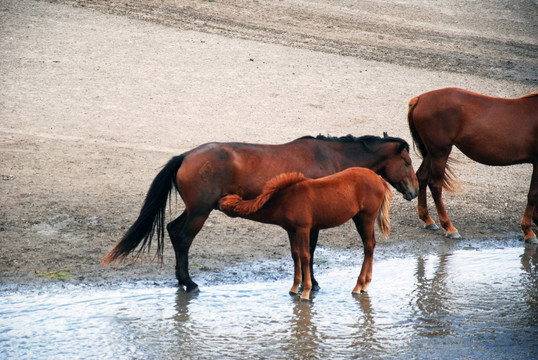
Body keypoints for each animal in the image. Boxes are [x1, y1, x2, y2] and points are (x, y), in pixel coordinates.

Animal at [218, 167, 390, 300]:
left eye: (226, 203)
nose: (216, 202)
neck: (286, 200)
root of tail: (379, 179)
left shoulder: (303, 229)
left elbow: (306, 256)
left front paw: (306, 292)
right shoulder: (291, 230)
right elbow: (295, 255)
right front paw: (294, 288)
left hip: (366, 217)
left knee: (368, 246)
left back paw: (358, 286)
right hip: (359, 218)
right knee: (371, 245)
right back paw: (365, 284)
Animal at [406, 88, 536, 242]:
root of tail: (420, 98)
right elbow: (533, 195)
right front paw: (528, 230)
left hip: (431, 153)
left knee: (422, 177)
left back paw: (428, 219)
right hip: (439, 152)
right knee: (435, 186)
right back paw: (449, 227)